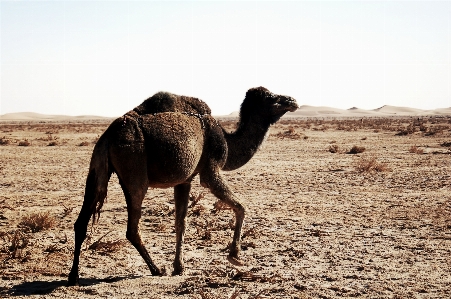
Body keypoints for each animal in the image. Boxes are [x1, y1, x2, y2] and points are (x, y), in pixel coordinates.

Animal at [67, 86, 298, 286]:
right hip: (134, 165)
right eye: (270, 97)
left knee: (82, 220)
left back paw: (73, 277)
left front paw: (179, 267)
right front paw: (235, 256)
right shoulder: (210, 168)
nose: (292, 100)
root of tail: (108, 136)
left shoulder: (184, 180)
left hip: (97, 168)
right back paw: (156, 269)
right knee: (132, 227)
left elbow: (181, 222)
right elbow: (241, 206)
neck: (226, 138)